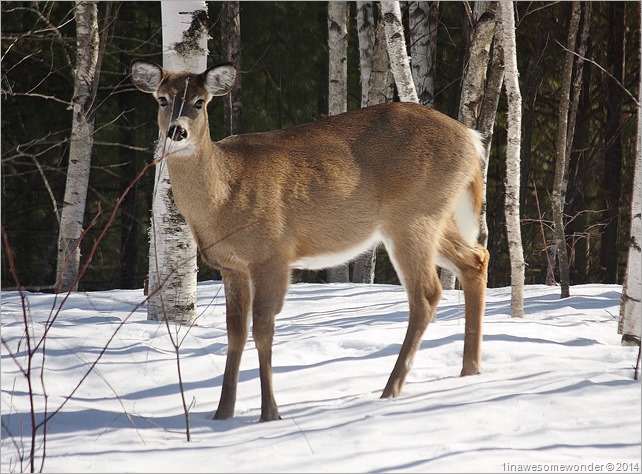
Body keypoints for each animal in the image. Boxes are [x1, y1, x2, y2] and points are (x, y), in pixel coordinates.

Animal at [131, 59, 490, 423]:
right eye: (162, 99)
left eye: (200, 102)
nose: (177, 131)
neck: (222, 197)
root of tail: (473, 139)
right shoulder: (231, 266)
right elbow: (235, 332)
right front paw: (222, 413)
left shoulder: (272, 254)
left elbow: (263, 328)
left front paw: (270, 413)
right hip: (431, 218)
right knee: (476, 258)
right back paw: (470, 369)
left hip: (414, 215)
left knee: (427, 293)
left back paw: (392, 388)